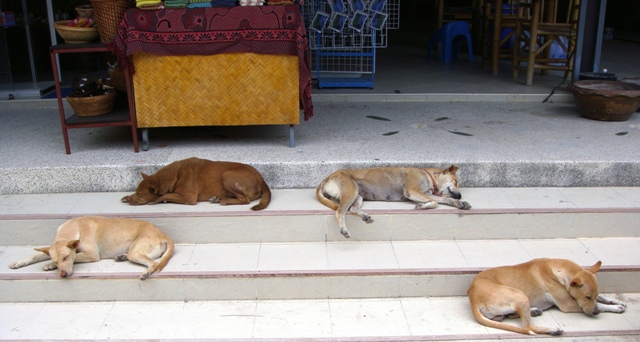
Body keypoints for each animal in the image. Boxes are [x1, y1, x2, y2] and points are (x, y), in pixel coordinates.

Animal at [10, 216, 175, 280]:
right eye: (57, 260)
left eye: (66, 257)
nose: (63, 275)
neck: (73, 228)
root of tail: (163, 234)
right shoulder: (50, 248)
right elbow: (35, 255)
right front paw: (19, 263)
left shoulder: (91, 254)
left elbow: (76, 257)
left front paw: (49, 265)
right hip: (133, 251)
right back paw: (121, 256)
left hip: (136, 252)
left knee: (154, 263)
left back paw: (146, 273)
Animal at [121, 156, 272, 210]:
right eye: (136, 191)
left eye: (141, 194)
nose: (130, 201)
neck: (174, 176)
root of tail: (262, 179)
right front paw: (126, 197)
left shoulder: (189, 198)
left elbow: (165, 195)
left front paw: (156, 200)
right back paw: (219, 198)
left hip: (227, 176)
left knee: (245, 199)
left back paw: (224, 201)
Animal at [316, 166, 470, 238]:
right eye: (455, 181)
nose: (460, 196)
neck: (428, 176)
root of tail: (327, 177)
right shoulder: (411, 191)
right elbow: (435, 202)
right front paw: (422, 205)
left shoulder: (426, 193)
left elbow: (443, 199)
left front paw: (459, 203)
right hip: (351, 191)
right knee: (340, 211)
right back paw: (344, 229)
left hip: (358, 195)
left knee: (353, 209)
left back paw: (365, 216)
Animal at [464, 258, 624, 336]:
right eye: (587, 297)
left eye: (593, 295)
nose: (595, 313)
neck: (560, 269)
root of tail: (473, 297)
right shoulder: (569, 304)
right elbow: (599, 305)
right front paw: (613, 307)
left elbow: (602, 299)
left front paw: (616, 301)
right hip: (519, 295)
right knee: (528, 326)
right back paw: (552, 330)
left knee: (508, 317)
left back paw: (534, 311)